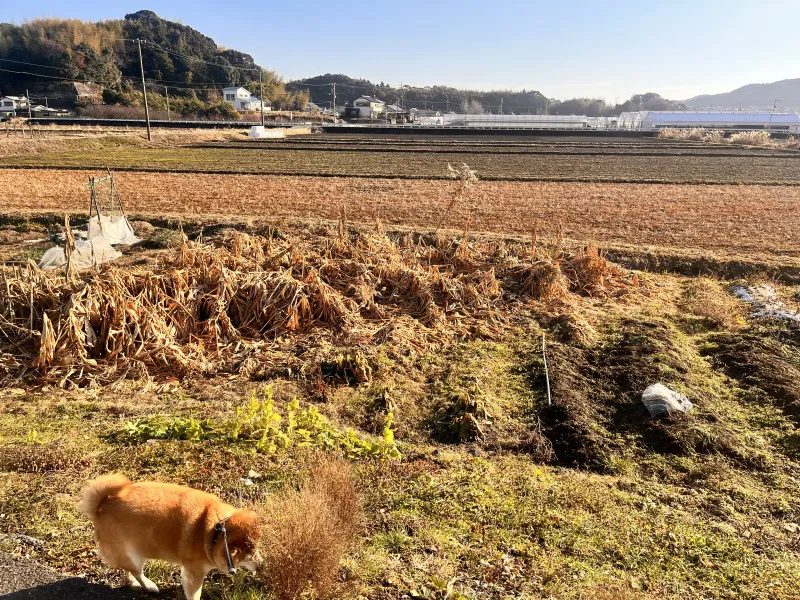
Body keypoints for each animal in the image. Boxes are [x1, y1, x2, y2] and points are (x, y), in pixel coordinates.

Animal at [79, 474, 260, 600]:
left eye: (257, 550)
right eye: (250, 556)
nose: (261, 565)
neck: (212, 530)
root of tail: (101, 507)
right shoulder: (194, 574)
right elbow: (195, 594)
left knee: (129, 573)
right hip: (132, 556)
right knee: (137, 573)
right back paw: (149, 586)